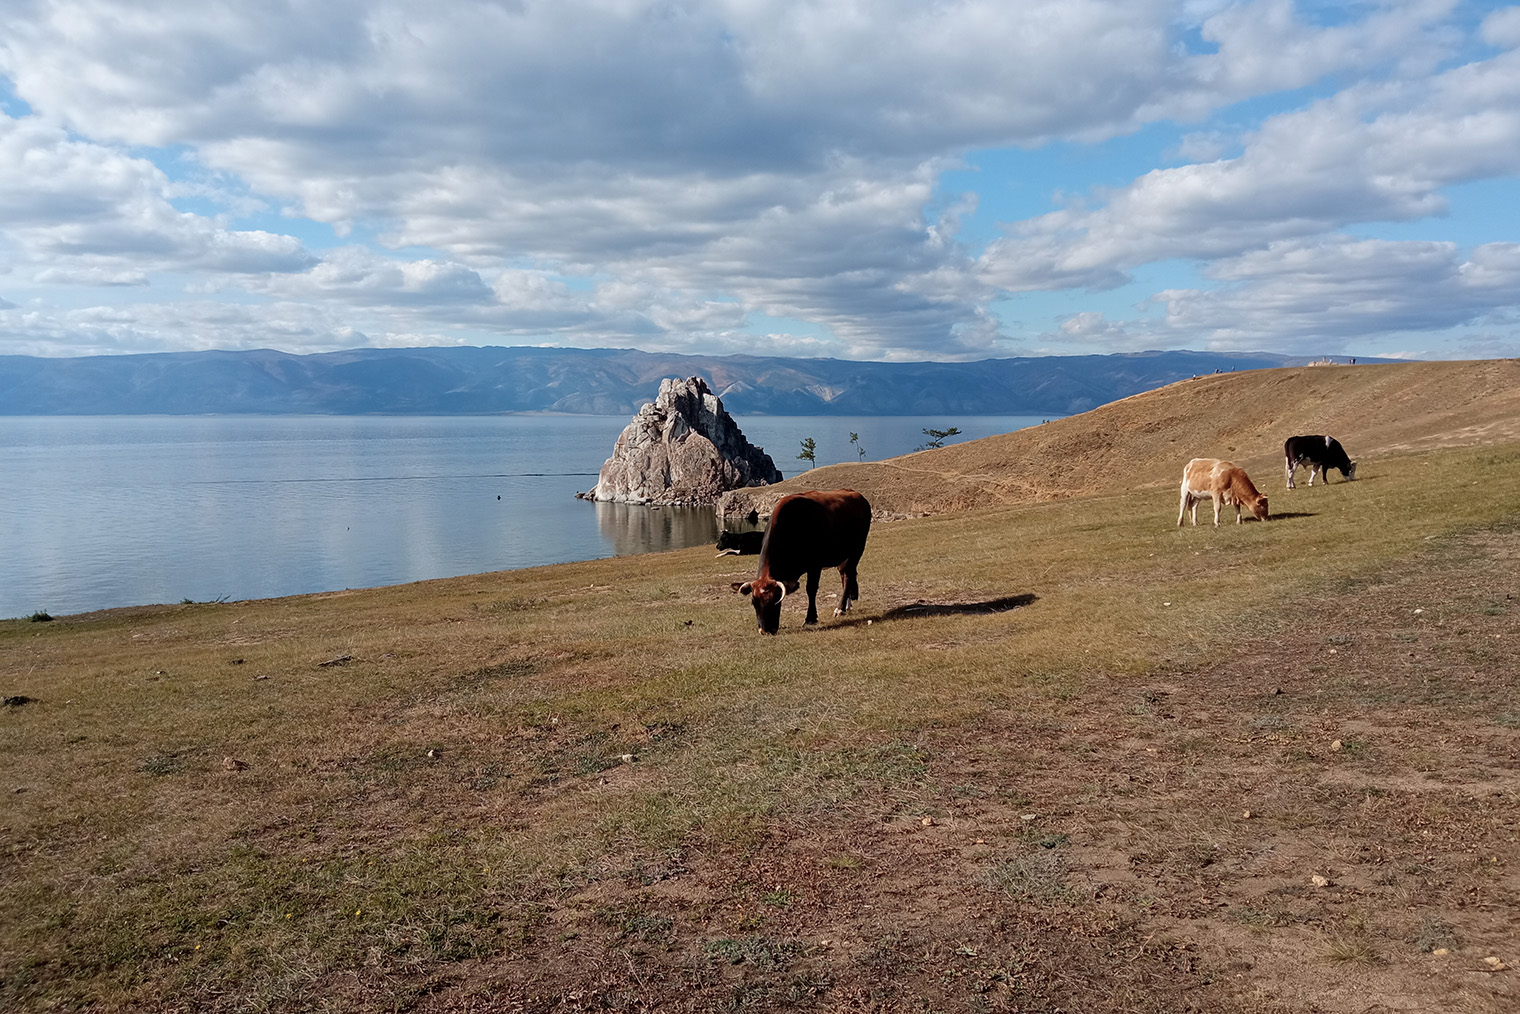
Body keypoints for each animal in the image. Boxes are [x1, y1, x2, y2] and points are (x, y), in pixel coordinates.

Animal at [732, 489, 869, 635]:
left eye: (776, 601)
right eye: (754, 602)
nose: (765, 630)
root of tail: (855, 494)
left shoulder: (815, 565)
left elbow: (811, 589)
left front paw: (810, 618)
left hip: (857, 550)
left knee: (848, 576)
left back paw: (840, 608)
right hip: (842, 557)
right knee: (844, 575)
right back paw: (847, 606)